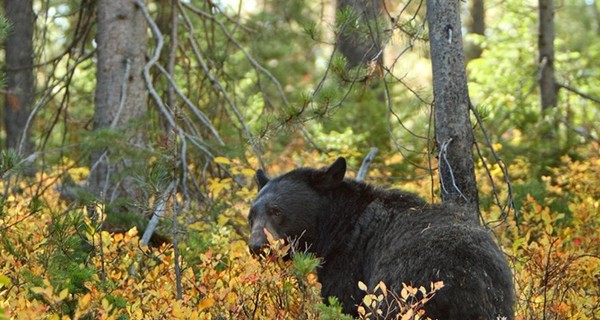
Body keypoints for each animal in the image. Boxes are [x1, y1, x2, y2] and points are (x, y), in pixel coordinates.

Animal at [248, 158, 516, 320]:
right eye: (252, 215)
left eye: (276, 211)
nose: (257, 246)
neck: (337, 227)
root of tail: (467, 277)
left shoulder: (350, 263)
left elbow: (343, 301)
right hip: (498, 301)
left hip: (401, 292)